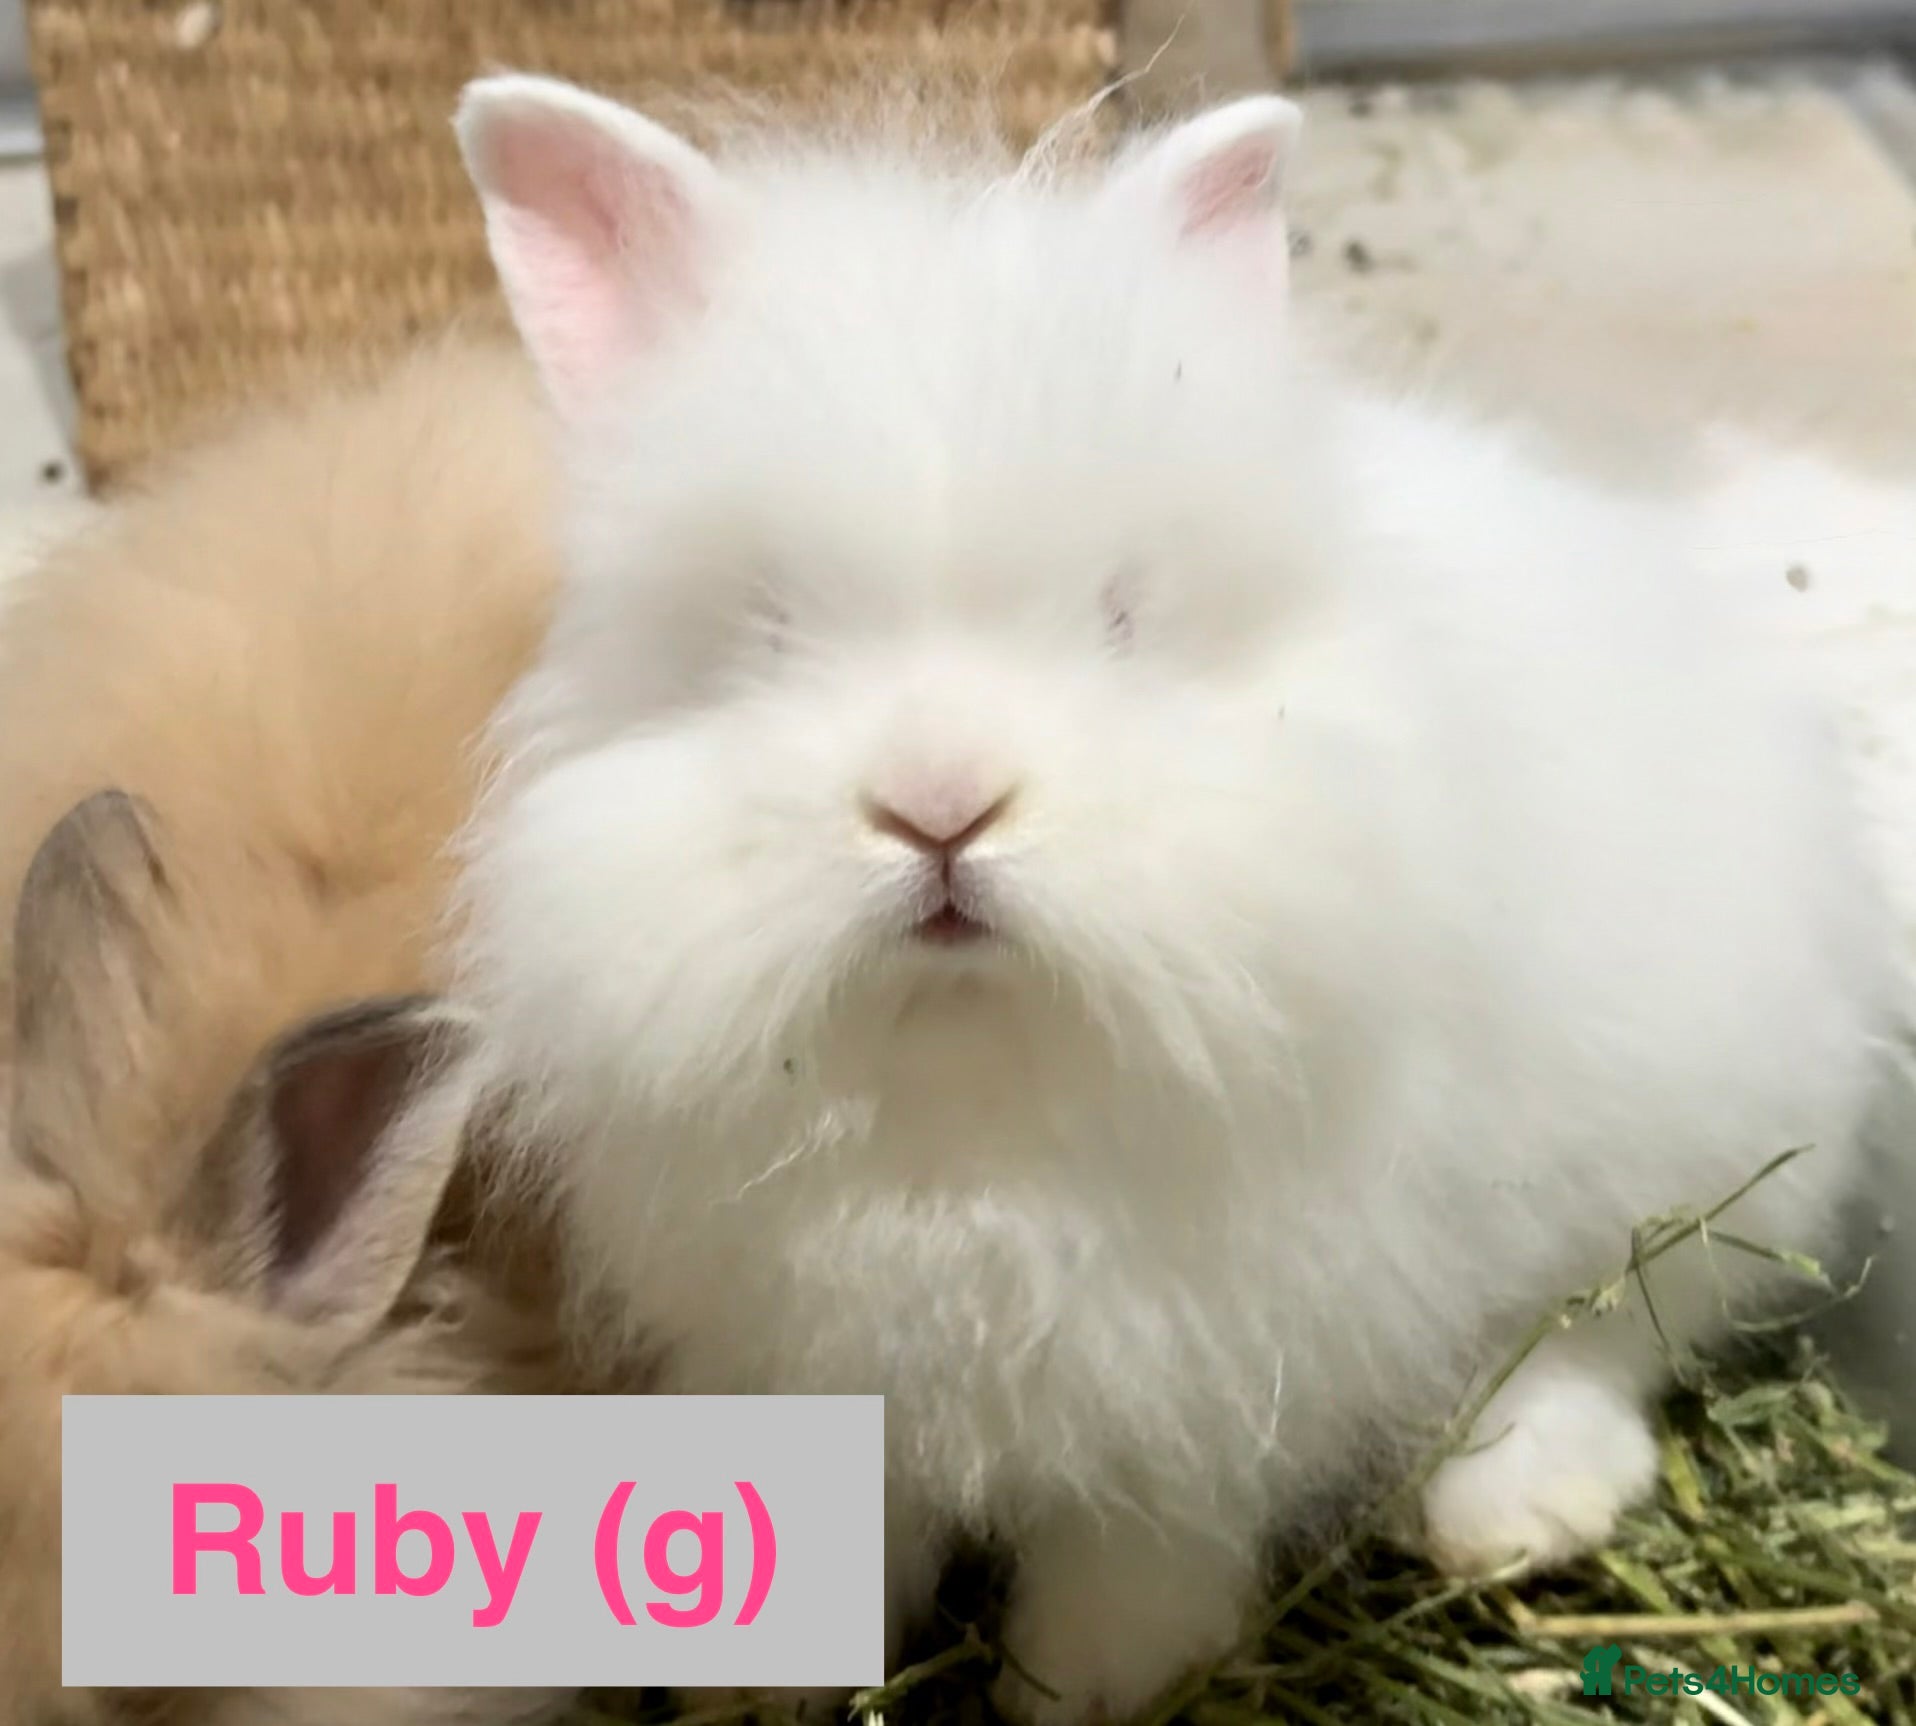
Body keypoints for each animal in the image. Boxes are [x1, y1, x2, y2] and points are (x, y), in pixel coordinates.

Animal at [441, 74, 1911, 1726]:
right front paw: (766, 1687)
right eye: (761, 626)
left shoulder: (1206, 1370)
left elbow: (1141, 1542)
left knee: (1613, 1327)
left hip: (1696, 1153)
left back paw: (1511, 1511)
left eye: (1125, 616)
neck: (973, 1084)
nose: (941, 806)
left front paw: (1091, 1685)